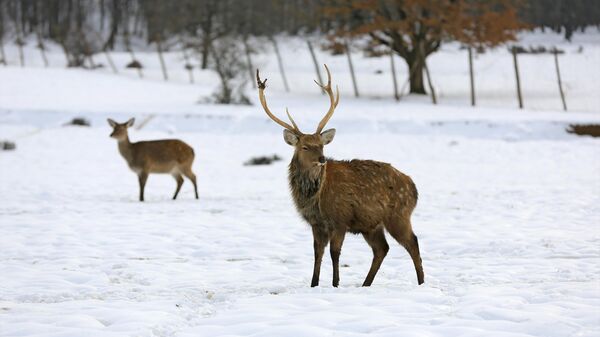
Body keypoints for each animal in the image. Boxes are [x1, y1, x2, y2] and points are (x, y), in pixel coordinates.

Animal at [255, 65, 424, 286]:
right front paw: (314, 283)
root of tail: (413, 187)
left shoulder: (340, 219)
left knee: (412, 242)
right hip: (371, 224)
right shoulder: (317, 223)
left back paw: (421, 282)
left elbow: (335, 253)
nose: (322, 159)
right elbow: (317, 253)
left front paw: (335, 283)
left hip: (398, 215)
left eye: (321, 145)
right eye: (305, 146)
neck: (316, 198)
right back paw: (365, 284)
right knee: (382, 249)